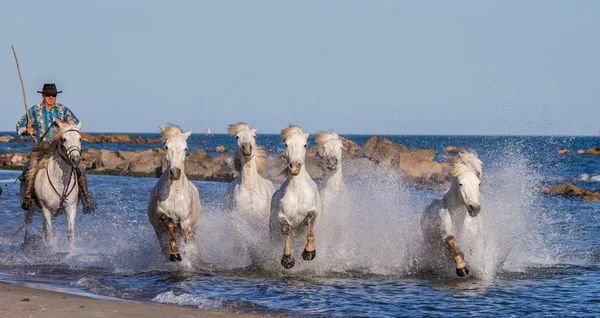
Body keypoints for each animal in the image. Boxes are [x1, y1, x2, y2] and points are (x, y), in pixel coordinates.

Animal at [148, 124, 202, 260]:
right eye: (166, 146)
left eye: (185, 148)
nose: (175, 172)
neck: (175, 193)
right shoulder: (163, 215)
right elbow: (171, 226)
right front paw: (175, 254)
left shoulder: (185, 221)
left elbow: (186, 240)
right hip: (158, 231)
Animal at [270, 124, 322, 268]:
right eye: (286, 144)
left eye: (305, 144)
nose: (294, 167)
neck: (297, 190)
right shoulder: (282, 217)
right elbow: (286, 231)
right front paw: (287, 259)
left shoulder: (312, 211)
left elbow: (310, 226)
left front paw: (309, 252)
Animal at [420, 148, 486, 276]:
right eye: (461, 184)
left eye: (478, 183)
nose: (475, 208)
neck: (459, 218)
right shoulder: (445, 236)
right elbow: (452, 240)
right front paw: (462, 269)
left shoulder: (473, 238)